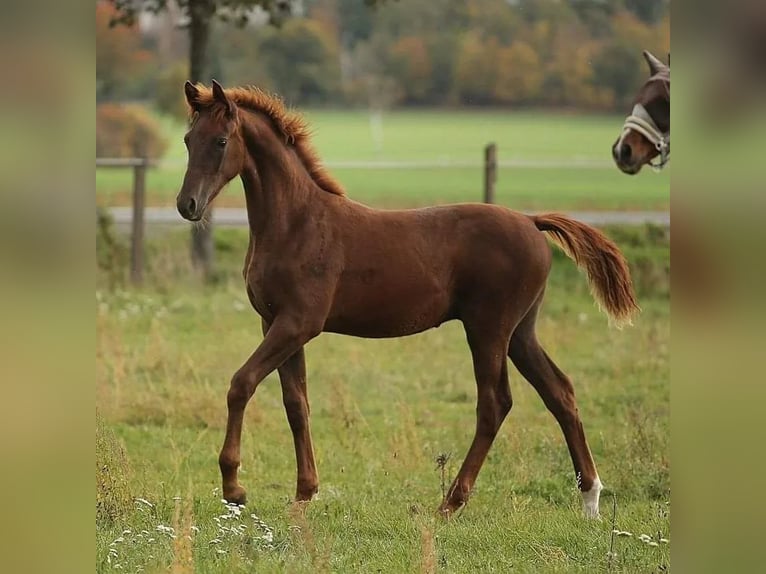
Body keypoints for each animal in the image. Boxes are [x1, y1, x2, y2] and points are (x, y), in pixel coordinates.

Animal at [177, 82, 640, 520]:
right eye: (187, 139)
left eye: (221, 141)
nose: (187, 205)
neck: (296, 223)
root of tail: (531, 221)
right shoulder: (276, 322)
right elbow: (296, 404)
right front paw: (304, 495)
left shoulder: (299, 322)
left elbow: (241, 383)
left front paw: (234, 489)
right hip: (521, 331)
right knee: (559, 392)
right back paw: (590, 499)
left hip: (488, 328)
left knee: (495, 403)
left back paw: (451, 503)